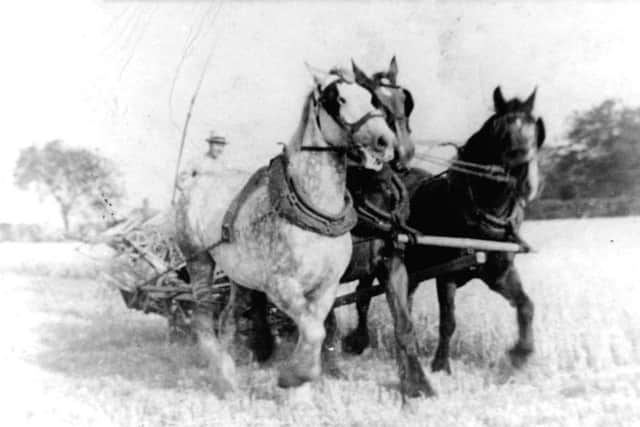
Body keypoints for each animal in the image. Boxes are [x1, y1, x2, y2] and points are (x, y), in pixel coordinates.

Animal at [342, 87, 548, 374]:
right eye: (502, 132)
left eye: (536, 130)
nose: (529, 183)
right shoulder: (446, 275)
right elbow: (448, 321)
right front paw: (441, 365)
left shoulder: (499, 271)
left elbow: (526, 305)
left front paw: (521, 353)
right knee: (362, 299)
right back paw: (358, 341)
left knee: (404, 300)